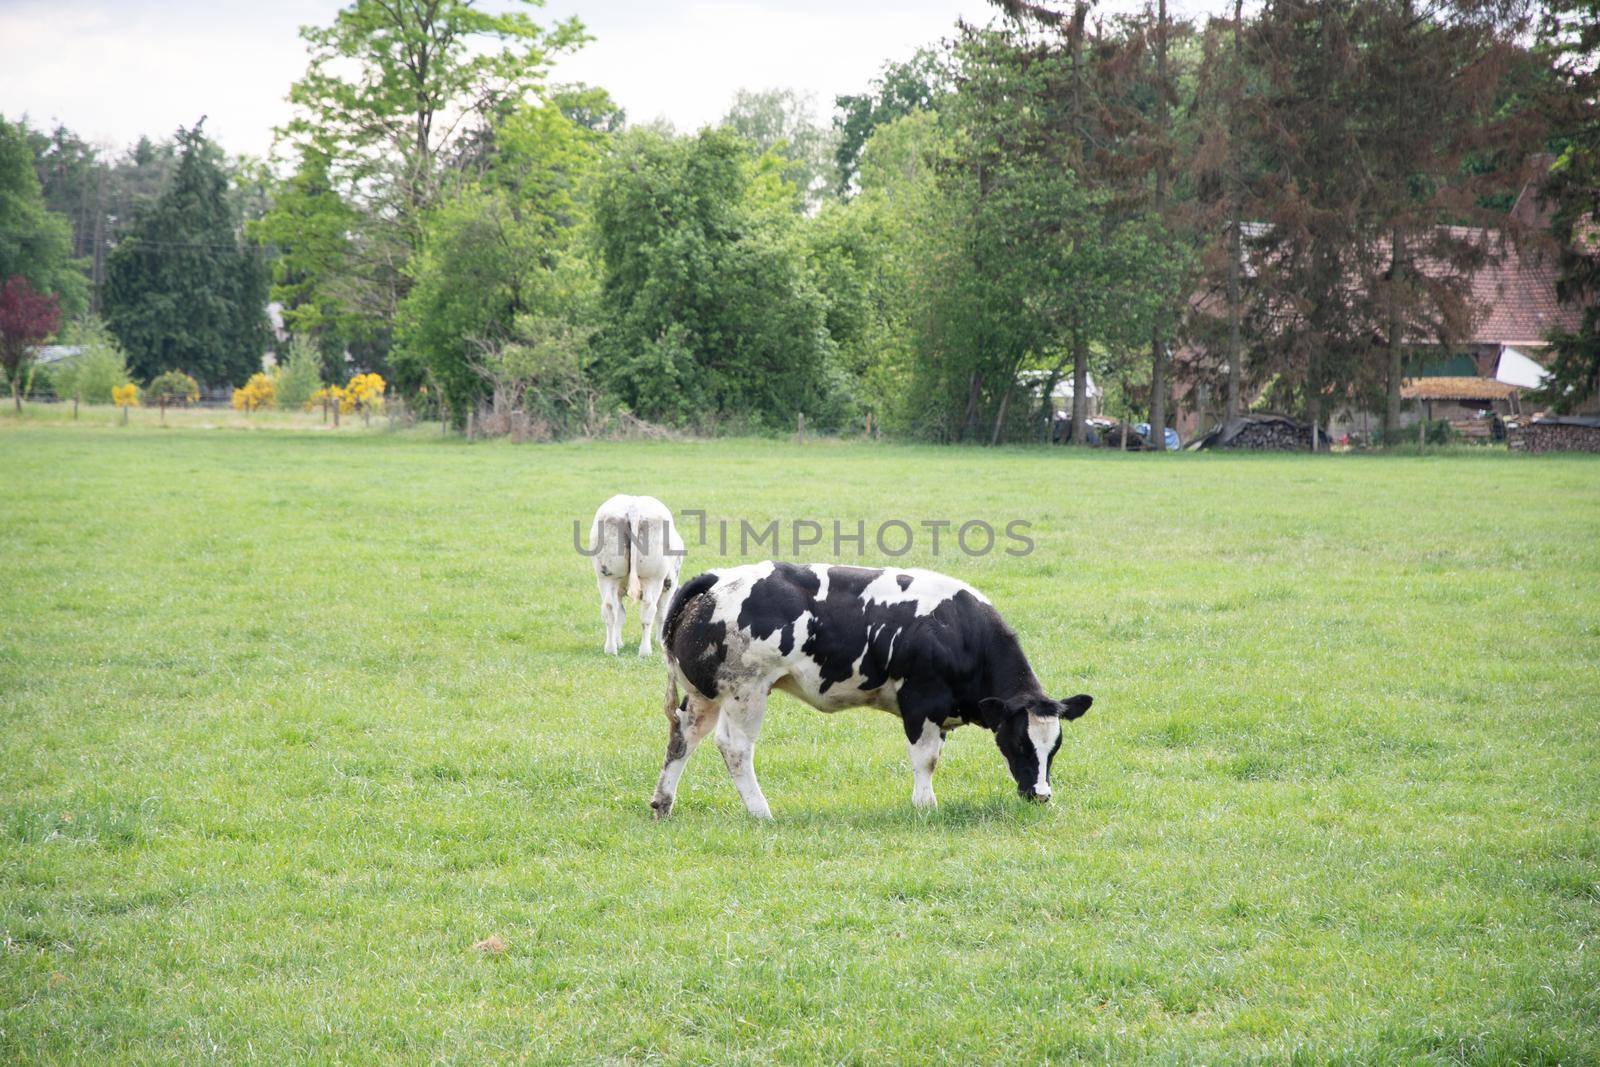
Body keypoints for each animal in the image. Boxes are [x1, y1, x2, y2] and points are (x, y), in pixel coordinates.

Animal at [592, 495, 684, 655]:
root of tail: (633, 506)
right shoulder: (670, 583)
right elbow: (663, 613)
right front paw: (660, 641)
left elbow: (620, 614)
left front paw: (619, 642)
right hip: (652, 578)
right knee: (649, 609)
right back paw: (645, 651)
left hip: (607, 576)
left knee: (609, 608)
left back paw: (610, 649)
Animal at [646, 563, 1088, 825]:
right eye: (1018, 743)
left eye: (1056, 747)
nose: (1041, 795)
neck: (958, 630)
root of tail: (719, 578)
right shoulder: (922, 703)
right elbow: (926, 759)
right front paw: (925, 805)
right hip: (746, 690)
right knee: (734, 748)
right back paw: (760, 810)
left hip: (705, 694)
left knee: (683, 736)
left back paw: (663, 802)